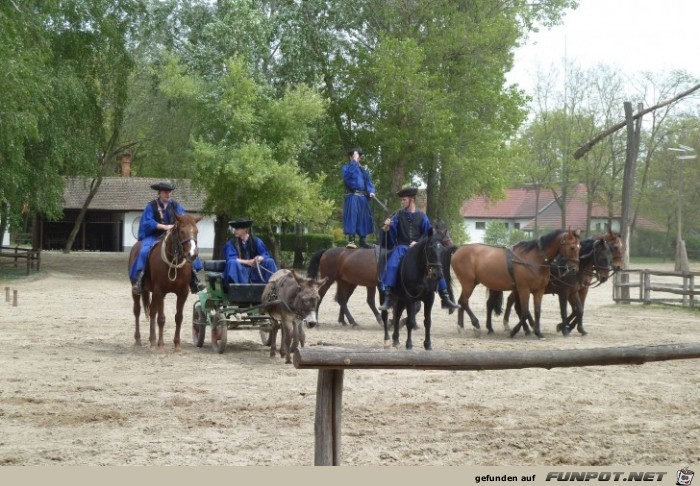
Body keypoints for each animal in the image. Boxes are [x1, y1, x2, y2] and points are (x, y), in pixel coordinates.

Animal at [128, 215, 201, 352]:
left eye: (196, 231)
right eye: (182, 231)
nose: (192, 254)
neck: (173, 262)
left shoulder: (183, 293)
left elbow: (178, 317)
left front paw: (177, 345)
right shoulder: (160, 291)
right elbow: (161, 318)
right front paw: (161, 345)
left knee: (152, 311)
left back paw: (152, 340)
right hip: (137, 290)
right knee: (137, 310)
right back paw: (138, 339)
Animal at [452, 229, 584, 340]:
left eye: (580, 247)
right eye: (572, 247)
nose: (574, 269)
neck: (534, 259)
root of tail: (458, 250)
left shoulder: (539, 290)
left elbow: (537, 311)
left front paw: (538, 332)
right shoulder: (524, 289)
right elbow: (525, 312)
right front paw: (514, 331)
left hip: (474, 284)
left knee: (462, 302)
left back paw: (461, 327)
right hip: (468, 283)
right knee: (464, 302)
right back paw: (476, 326)